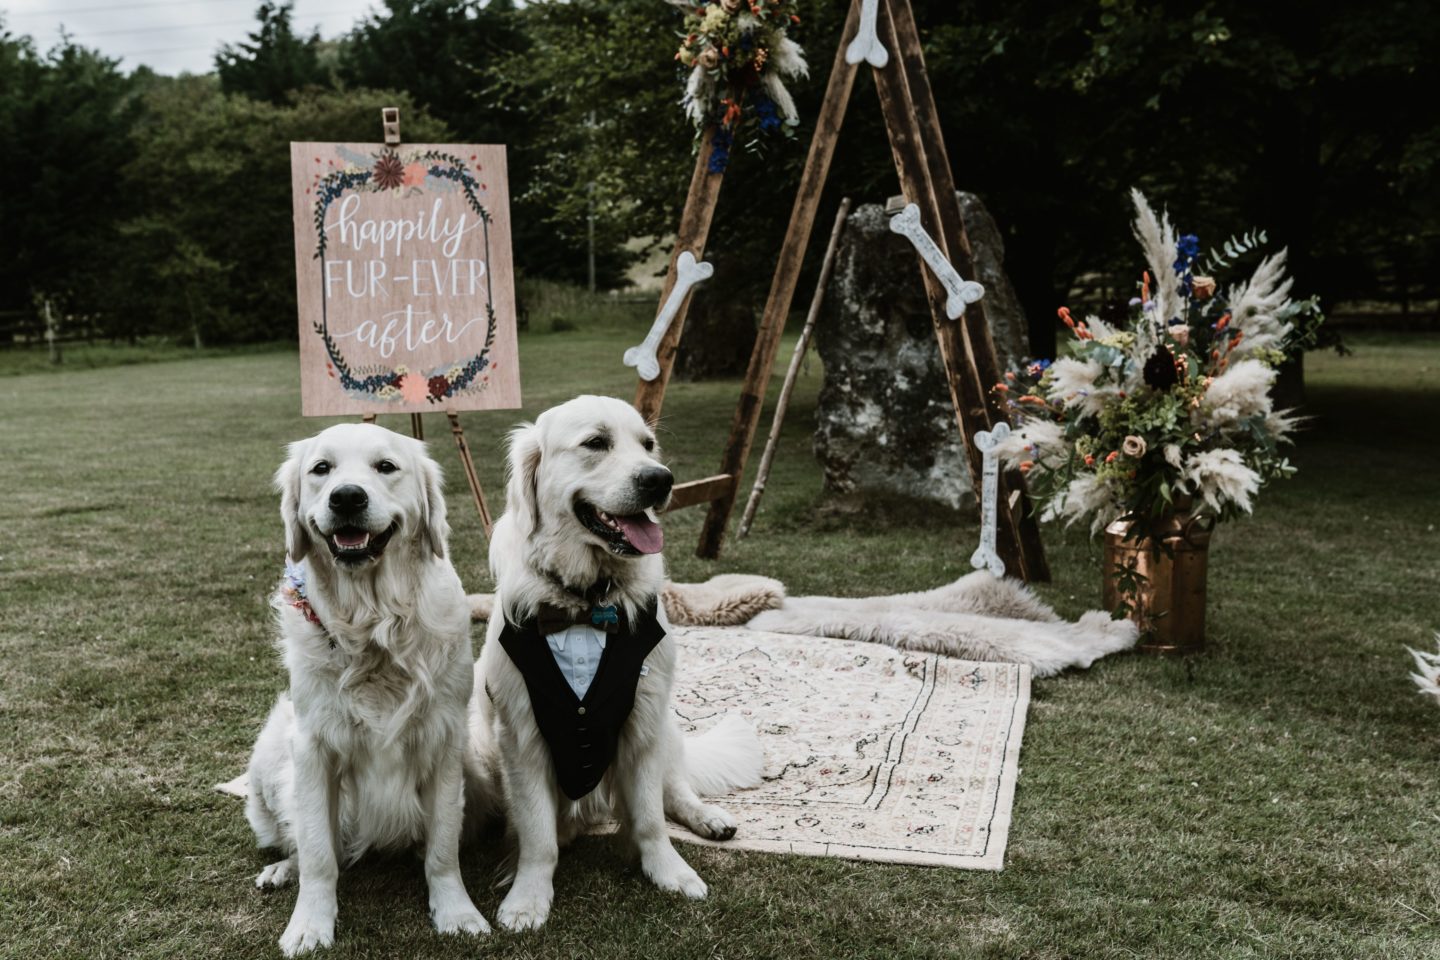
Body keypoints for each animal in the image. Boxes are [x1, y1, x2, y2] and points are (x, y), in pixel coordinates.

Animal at [243, 423, 489, 955]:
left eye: (386, 467)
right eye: (321, 469)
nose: (347, 497)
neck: (374, 625)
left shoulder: (445, 742)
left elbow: (443, 847)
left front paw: (456, 912)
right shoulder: (312, 746)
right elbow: (318, 852)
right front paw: (309, 925)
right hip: (270, 750)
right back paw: (281, 869)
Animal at [472, 391, 766, 932]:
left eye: (648, 444)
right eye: (595, 443)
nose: (660, 479)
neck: (586, 605)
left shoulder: (643, 719)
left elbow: (650, 817)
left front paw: (668, 871)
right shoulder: (520, 735)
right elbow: (537, 834)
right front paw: (527, 896)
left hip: (667, 727)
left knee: (676, 788)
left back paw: (709, 818)